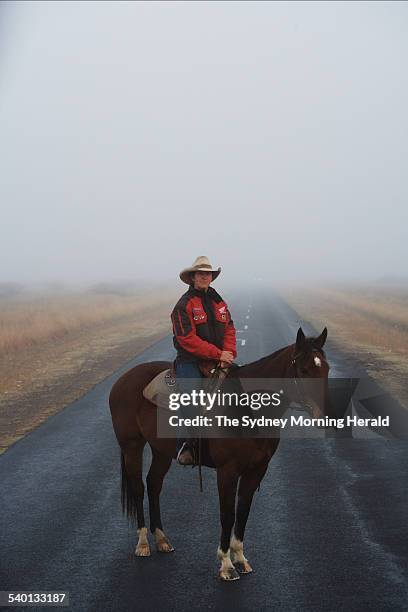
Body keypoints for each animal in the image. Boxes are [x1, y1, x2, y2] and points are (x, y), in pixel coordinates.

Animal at [110, 328, 330, 580]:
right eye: (304, 370)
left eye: (326, 368)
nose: (324, 413)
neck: (247, 407)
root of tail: (124, 378)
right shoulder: (227, 471)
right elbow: (227, 514)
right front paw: (226, 564)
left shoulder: (256, 470)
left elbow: (243, 512)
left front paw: (241, 558)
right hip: (132, 446)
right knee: (138, 487)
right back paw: (143, 543)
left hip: (161, 451)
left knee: (154, 484)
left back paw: (162, 539)